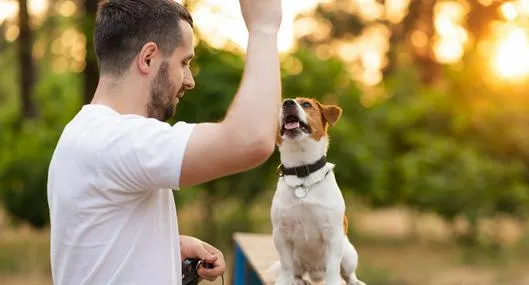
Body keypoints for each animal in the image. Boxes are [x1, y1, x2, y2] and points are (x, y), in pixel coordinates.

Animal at [270, 97, 366, 284]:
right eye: (280, 105)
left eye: (306, 104)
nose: (287, 103)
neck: (302, 172)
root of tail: (315, 273)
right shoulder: (280, 234)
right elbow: (286, 266)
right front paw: (285, 280)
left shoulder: (334, 235)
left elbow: (333, 268)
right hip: (297, 259)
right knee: (296, 271)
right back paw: (299, 280)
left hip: (349, 252)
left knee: (348, 273)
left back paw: (355, 281)